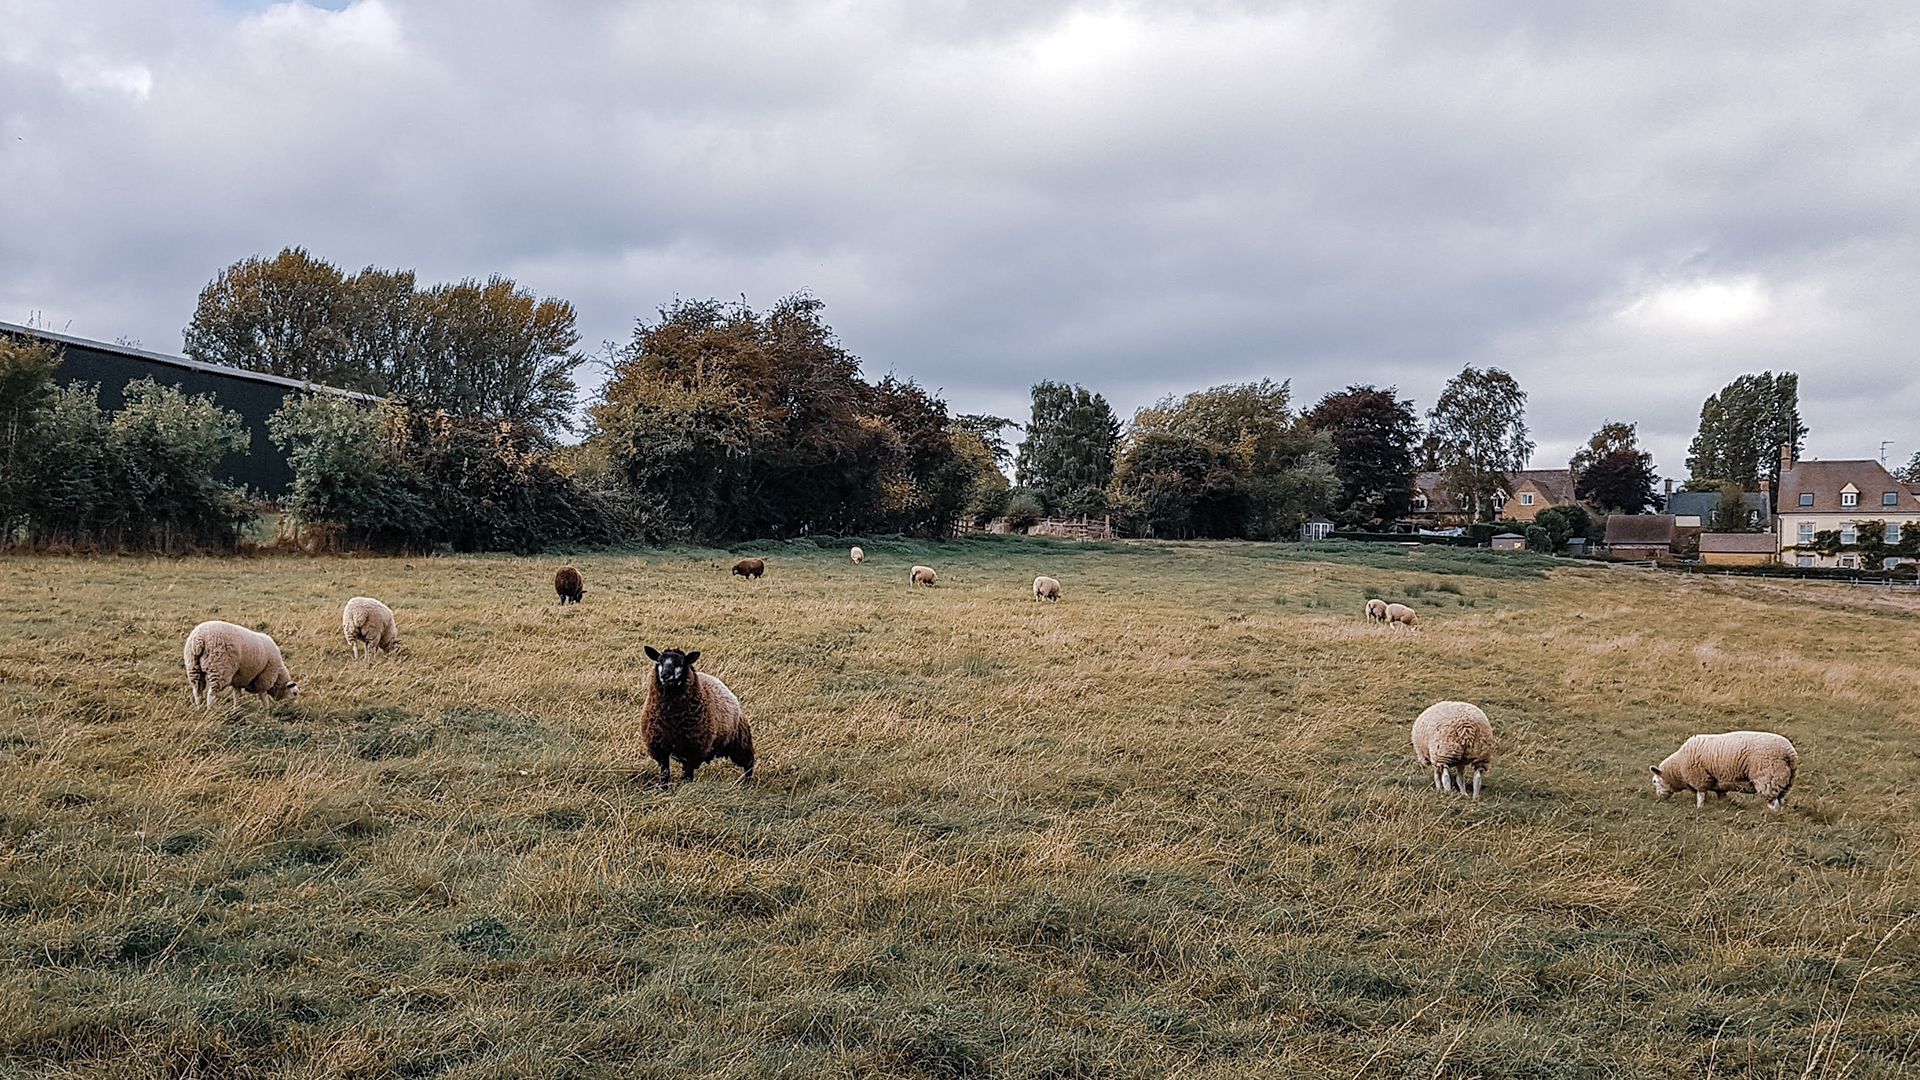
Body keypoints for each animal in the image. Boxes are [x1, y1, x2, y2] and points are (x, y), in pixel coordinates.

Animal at [640, 646, 755, 786]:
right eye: (659, 661)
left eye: (681, 663)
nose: (665, 675)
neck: (672, 717)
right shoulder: (660, 746)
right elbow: (665, 773)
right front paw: (664, 788)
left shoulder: (693, 749)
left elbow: (687, 776)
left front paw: (685, 787)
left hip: (739, 742)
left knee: (748, 764)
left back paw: (747, 784)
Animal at [1651, 731, 1799, 812]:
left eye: (1654, 781)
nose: (1659, 798)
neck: (1678, 769)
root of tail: (1790, 752)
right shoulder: (1718, 782)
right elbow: (1721, 795)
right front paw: (1722, 805)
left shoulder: (1700, 778)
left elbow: (1701, 795)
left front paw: (1699, 807)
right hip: (1784, 780)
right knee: (1780, 800)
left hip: (1768, 777)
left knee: (1773, 803)